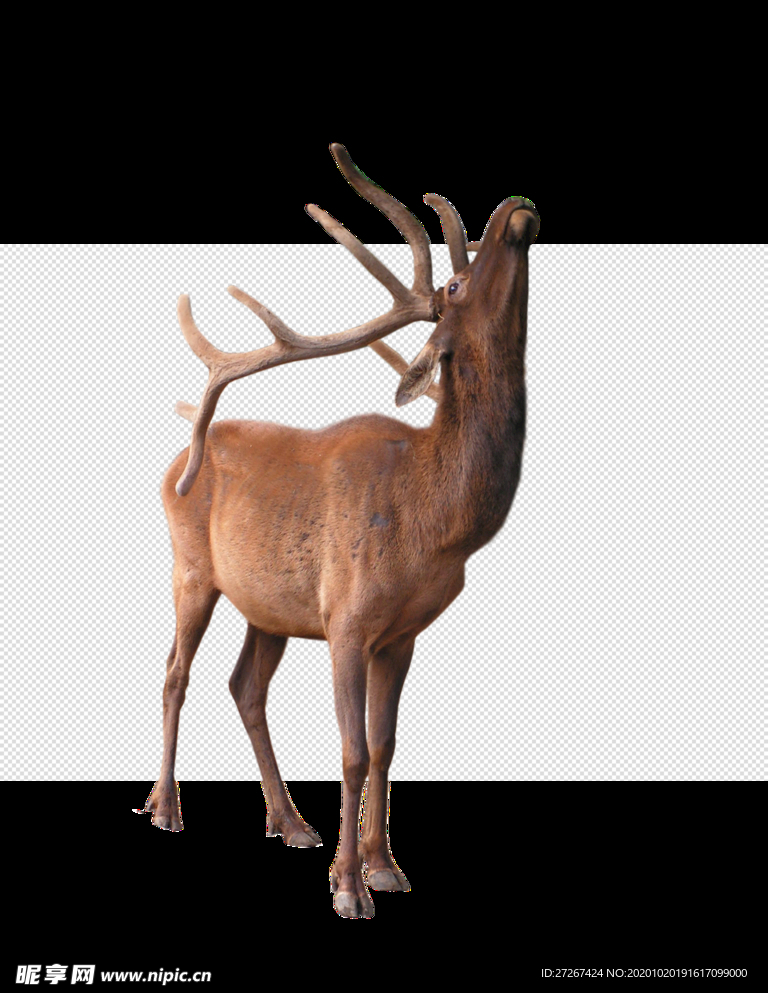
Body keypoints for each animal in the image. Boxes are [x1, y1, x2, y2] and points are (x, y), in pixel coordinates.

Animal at [137, 143, 539, 919]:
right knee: (175, 672)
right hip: (190, 568)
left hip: (268, 605)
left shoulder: (401, 633)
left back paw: (289, 821)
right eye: (456, 282)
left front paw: (384, 866)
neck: (436, 524)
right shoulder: (348, 617)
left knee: (244, 685)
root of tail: (172, 460)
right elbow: (351, 748)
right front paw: (349, 886)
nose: (517, 207)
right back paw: (165, 807)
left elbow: (385, 745)